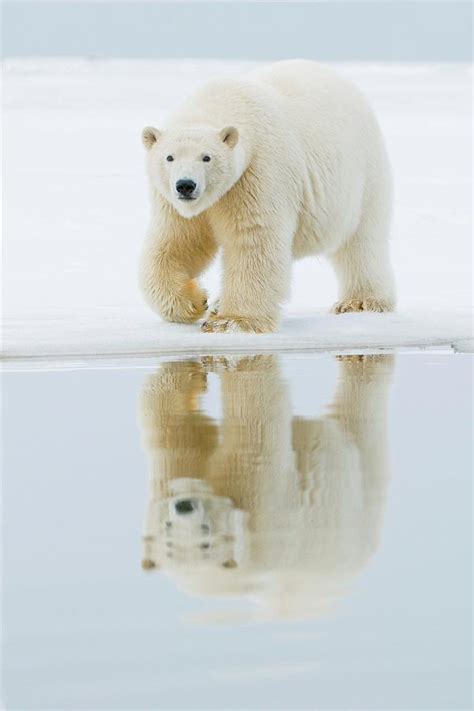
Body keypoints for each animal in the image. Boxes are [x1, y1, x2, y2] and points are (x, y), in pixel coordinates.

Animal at [139, 354, 394, 620]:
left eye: (206, 532)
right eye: (167, 531)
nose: (185, 505)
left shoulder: (261, 510)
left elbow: (255, 417)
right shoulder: (172, 472)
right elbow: (177, 432)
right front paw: (193, 374)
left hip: (355, 501)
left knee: (362, 422)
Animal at [141, 59, 396, 334]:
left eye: (206, 157)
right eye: (169, 157)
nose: (186, 185)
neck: (224, 101)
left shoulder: (257, 171)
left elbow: (254, 240)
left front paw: (232, 321)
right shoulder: (172, 202)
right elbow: (177, 242)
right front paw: (196, 301)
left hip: (363, 176)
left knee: (361, 242)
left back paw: (361, 301)